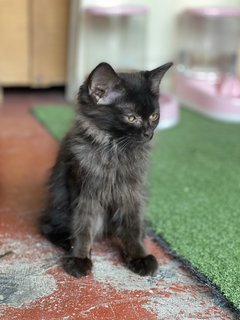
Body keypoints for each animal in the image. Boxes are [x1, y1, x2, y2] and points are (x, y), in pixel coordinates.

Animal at [41, 61, 172, 276]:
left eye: (154, 116)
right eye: (131, 117)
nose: (148, 133)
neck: (114, 149)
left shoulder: (132, 193)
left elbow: (133, 226)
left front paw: (138, 255)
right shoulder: (84, 191)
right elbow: (83, 225)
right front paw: (79, 257)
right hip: (58, 204)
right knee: (47, 227)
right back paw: (66, 242)